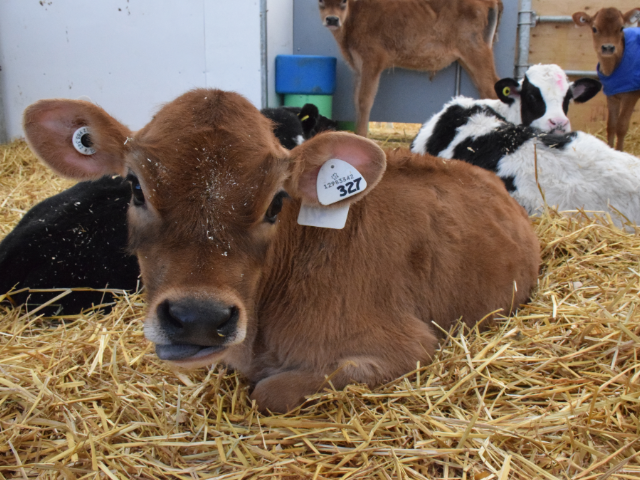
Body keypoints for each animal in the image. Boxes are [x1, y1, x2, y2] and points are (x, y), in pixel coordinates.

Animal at [318, 0, 504, 137]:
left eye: (344, 0)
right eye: (321, 0)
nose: (332, 19)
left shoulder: (372, 60)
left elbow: (365, 100)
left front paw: (362, 136)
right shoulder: (358, 66)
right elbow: (356, 100)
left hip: (475, 51)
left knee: (493, 89)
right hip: (467, 59)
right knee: (484, 90)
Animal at [573, 7, 640, 151]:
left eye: (621, 28)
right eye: (594, 28)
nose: (608, 47)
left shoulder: (631, 93)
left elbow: (621, 126)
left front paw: (619, 151)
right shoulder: (612, 93)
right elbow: (611, 125)